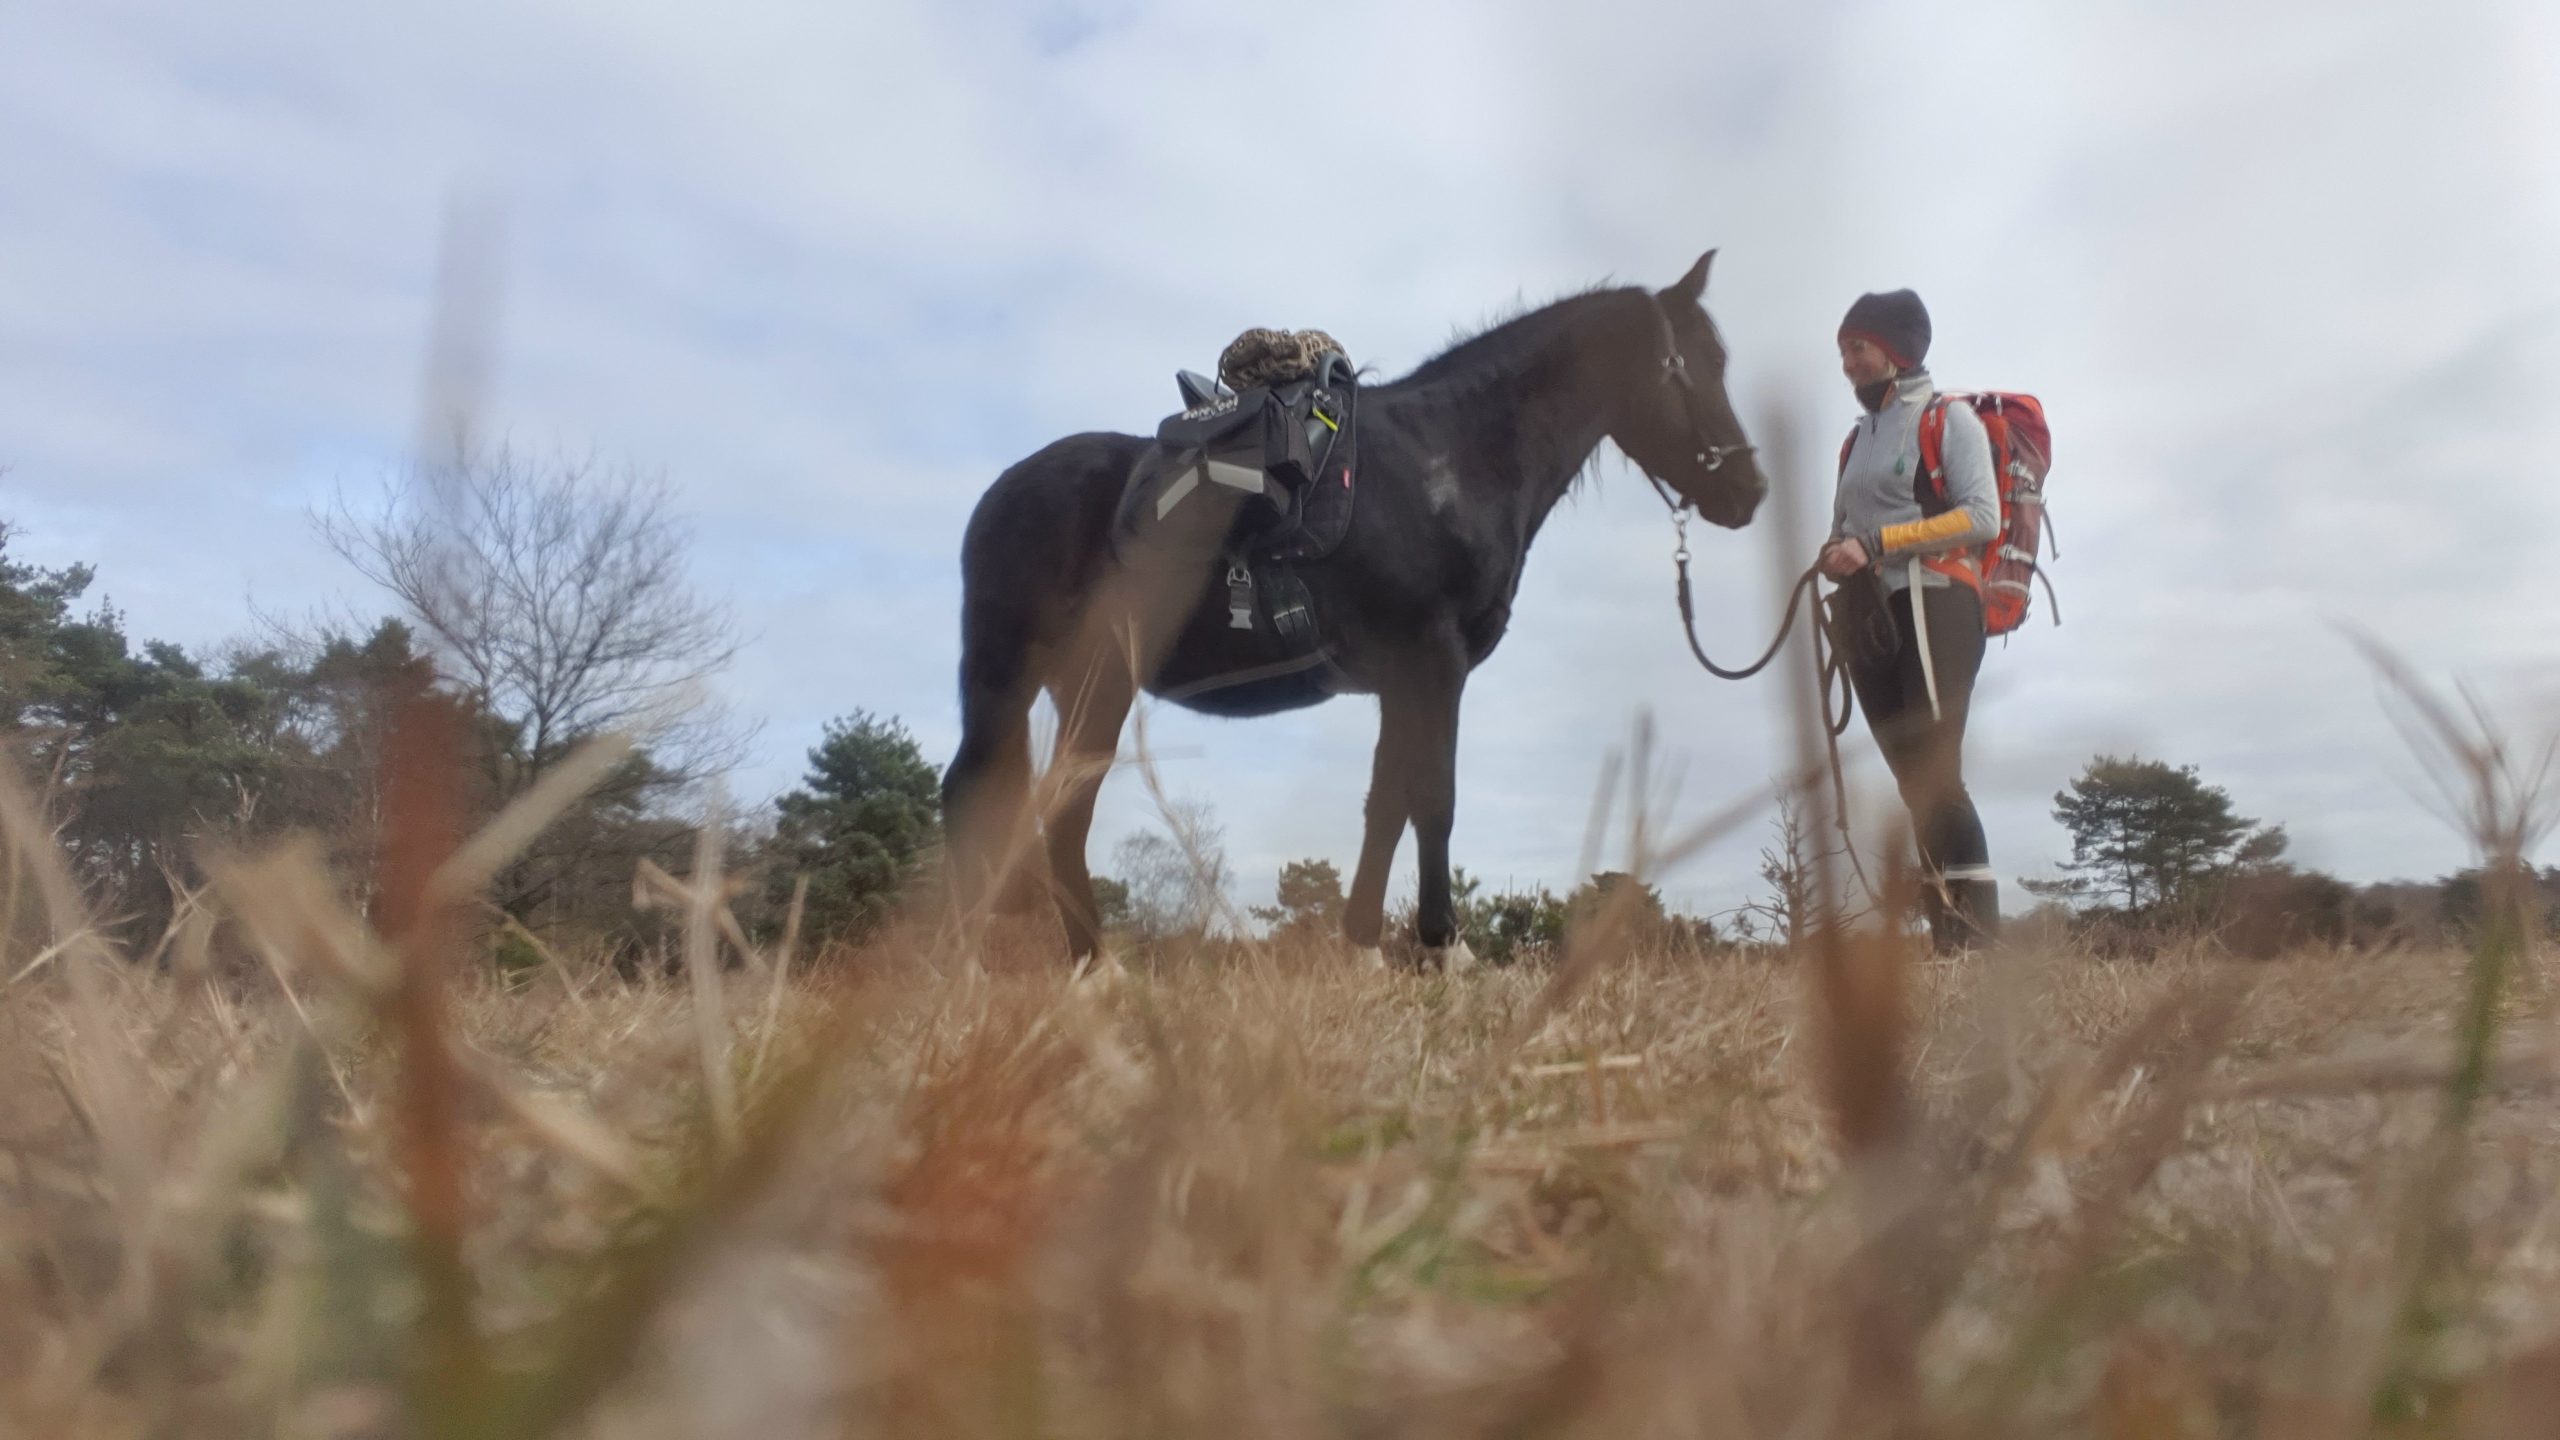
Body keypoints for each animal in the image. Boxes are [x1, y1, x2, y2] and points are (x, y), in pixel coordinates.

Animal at [940, 249, 1767, 968]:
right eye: (1693, 365)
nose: (1750, 492)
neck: (1448, 464)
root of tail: (999, 494)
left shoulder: (1405, 679)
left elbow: (1387, 804)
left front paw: (1365, 948)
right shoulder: (1434, 662)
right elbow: (1434, 799)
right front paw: (1444, 949)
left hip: (1085, 684)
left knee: (1055, 808)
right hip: (1029, 679)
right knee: (989, 799)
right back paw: (1002, 968)